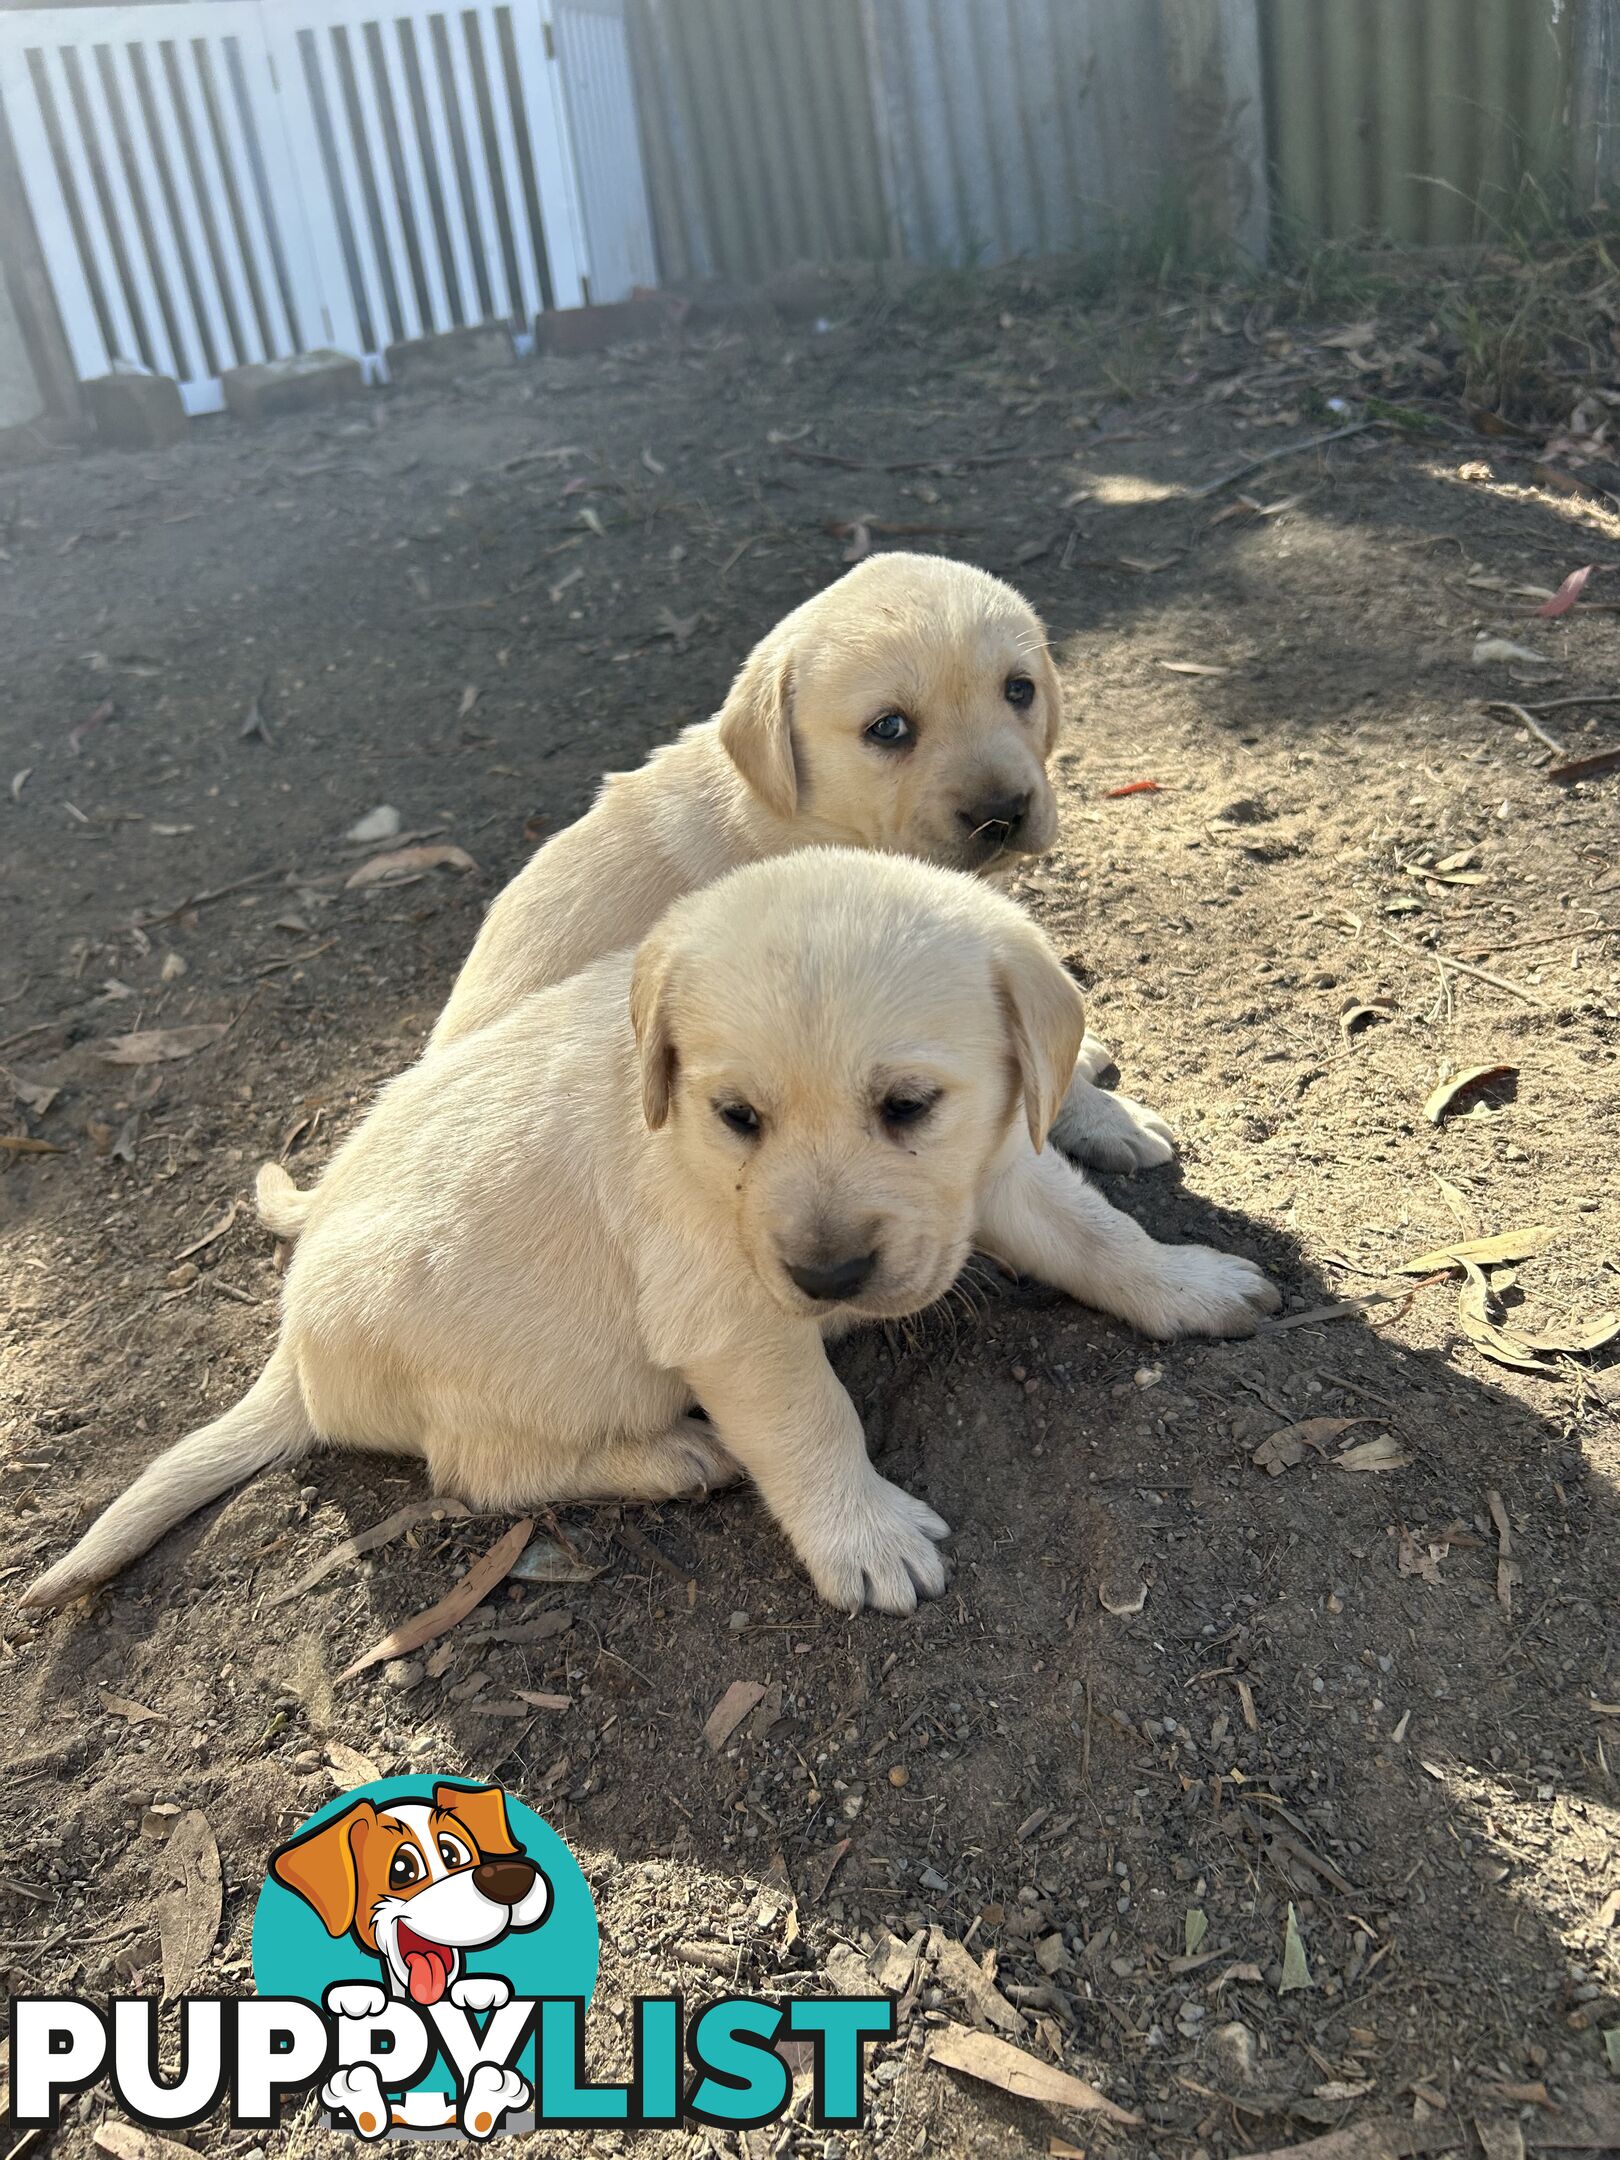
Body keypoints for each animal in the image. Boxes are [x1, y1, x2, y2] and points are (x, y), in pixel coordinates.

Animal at [19, 851, 1278, 1615]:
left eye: (910, 1106)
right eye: (737, 1118)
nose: (829, 1274)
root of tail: (291, 1358)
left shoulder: (1003, 1164)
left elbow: (1099, 1234)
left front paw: (1192, 1283)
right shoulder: (732, 1317)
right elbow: (811, 1418)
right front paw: (864, 1536)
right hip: (543, 1379)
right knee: (482, 1471)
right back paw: (675, 1456)